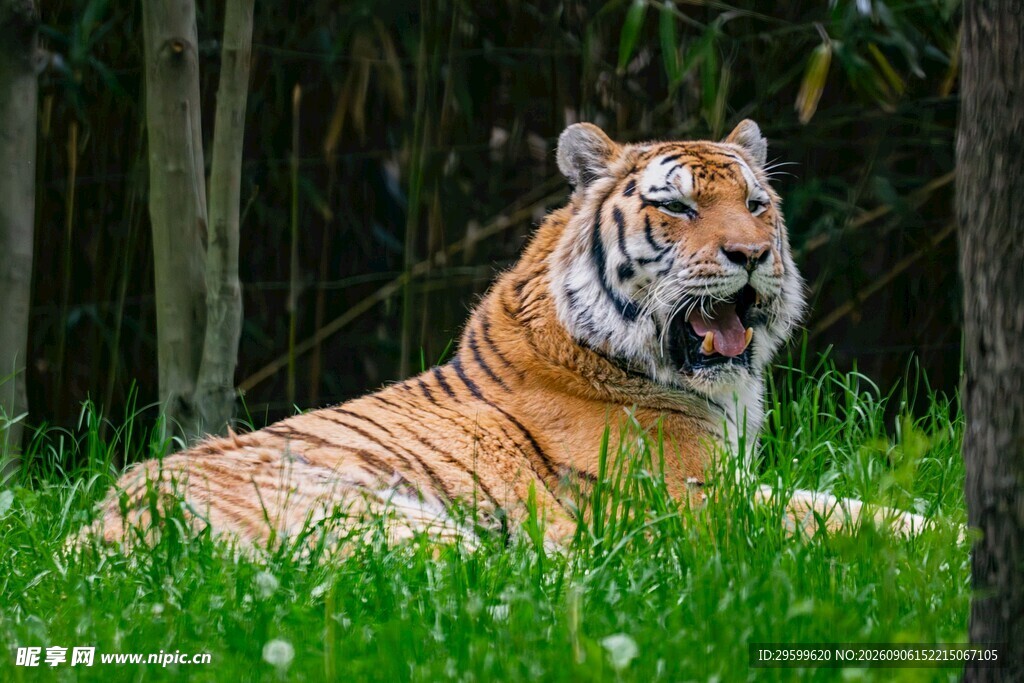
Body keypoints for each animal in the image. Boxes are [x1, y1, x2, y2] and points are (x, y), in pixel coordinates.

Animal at [85, 119, 929, 549]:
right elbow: (843, 518)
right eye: (679, 207)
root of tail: (94, 537)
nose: (750, 256)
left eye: (756, 205)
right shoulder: (693, 502)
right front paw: (942, 549)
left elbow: (843, 500)